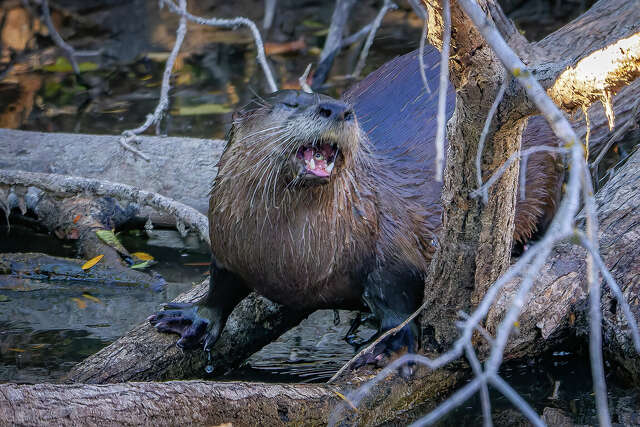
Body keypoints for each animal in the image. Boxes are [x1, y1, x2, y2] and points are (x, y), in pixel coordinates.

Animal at [148, 45, 556, 362]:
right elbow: (222, 283)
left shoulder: (389, 242)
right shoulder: (227, 240)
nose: (337, 110)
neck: (292, 252)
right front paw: (197, 317)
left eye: (344, 105)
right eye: (293, 103)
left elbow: (397, 293)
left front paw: (390, 340)